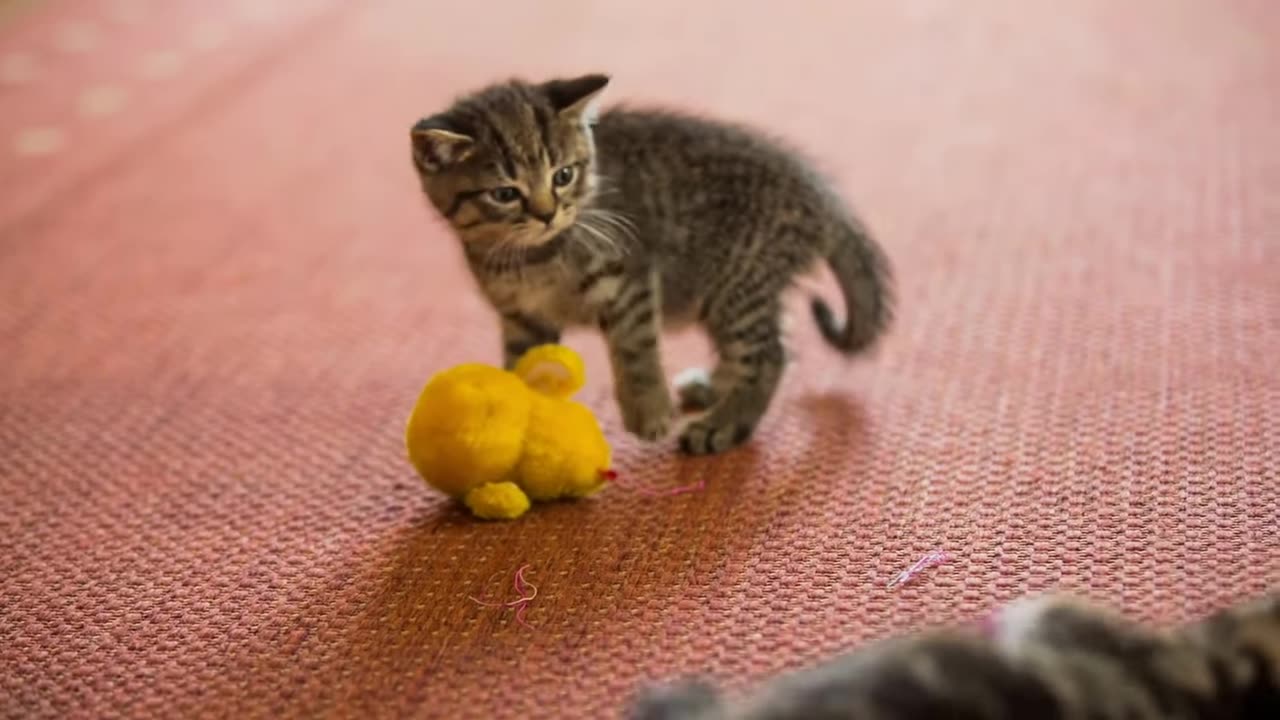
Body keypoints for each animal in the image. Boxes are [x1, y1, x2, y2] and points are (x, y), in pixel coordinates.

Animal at [409, 74, 890, 453]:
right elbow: (525, 371)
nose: (547, 213)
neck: (532, 258)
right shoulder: (522, 317)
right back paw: (715, 388)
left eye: (563, 175)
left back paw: (723, 424)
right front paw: (517, 424)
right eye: (505, 193)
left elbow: (636, 347)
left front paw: (649, 412)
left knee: (771, 355)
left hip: (738, 283)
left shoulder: (629, 277)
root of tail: (818, 192)